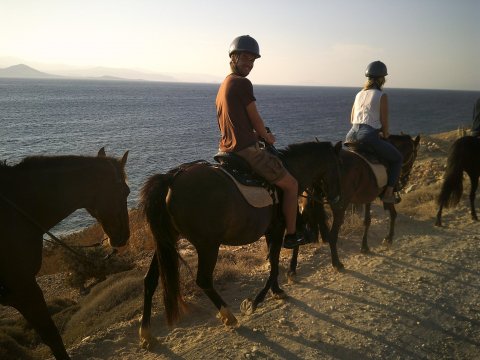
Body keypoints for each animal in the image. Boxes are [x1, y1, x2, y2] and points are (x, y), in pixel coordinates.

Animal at [137, 140, 344, 346]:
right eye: (337, 167)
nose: (336, 198)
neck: (291, 169)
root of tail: (171, 179)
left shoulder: (270, 231)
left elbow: (273, 262)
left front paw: (277, 290)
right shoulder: (278, 229)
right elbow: (276, 264)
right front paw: (257, 301)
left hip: (166, 241)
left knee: (150, 280)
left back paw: (146, 333)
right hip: (207, 245)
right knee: (203, 280)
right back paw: (228, 315)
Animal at [288, 134, 420, 276]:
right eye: (415, 154)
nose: (405, 179)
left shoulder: (368, 197)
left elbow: (367, 221)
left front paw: (365, 246)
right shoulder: (384, 194)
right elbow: (393, 214)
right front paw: (389, 238)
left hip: (307, 205)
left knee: (300, 232)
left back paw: (292, 269)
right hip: (339, 207)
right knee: (332, 235)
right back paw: (337, 263)